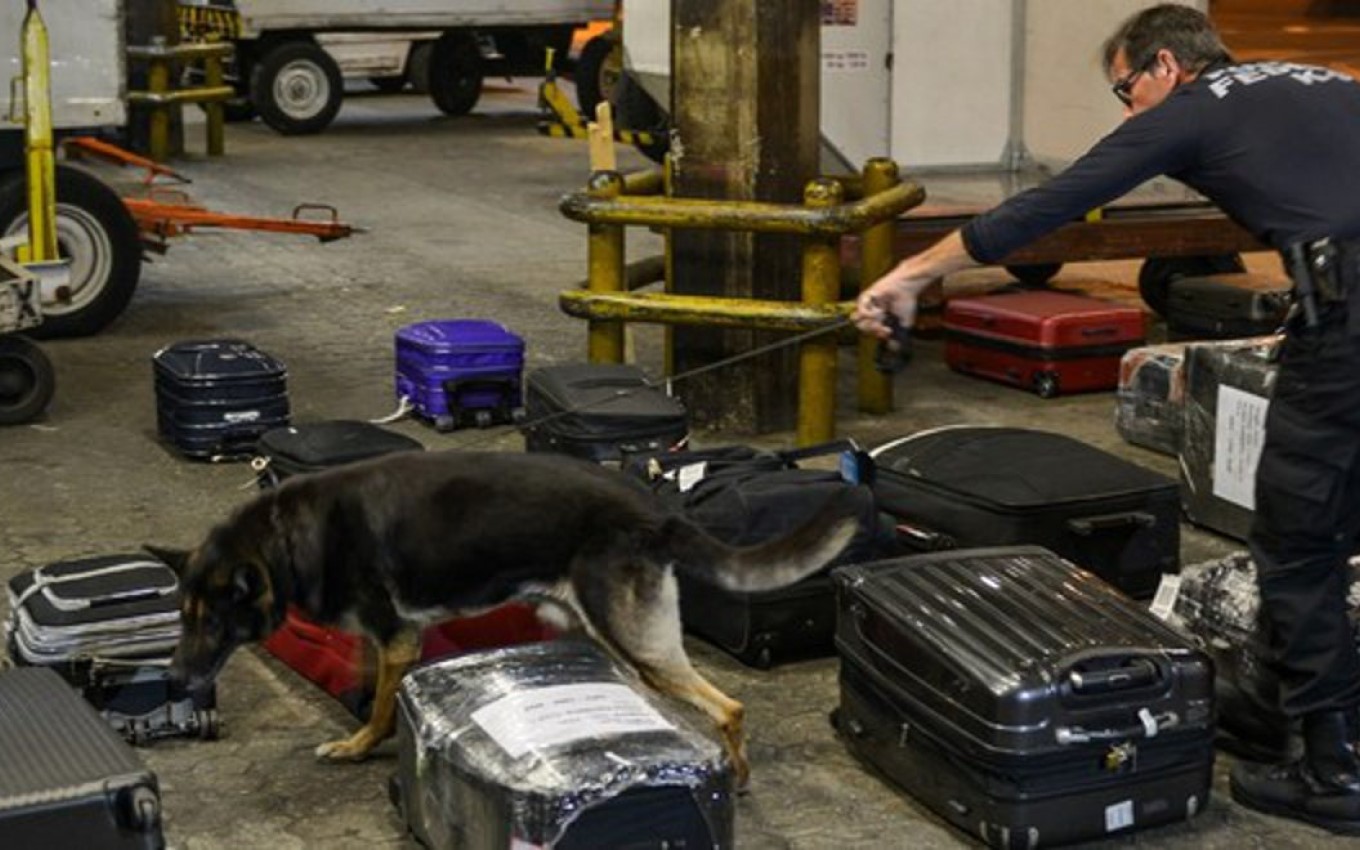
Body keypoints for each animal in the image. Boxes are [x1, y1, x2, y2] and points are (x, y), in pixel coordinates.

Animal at [154, 448, 854, 783]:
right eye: (182, 618)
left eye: (210, 623)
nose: (172, 680)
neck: (282, 538)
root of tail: (656, 512)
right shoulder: (391, 640)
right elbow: (369, 682)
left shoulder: (398, 638)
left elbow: (379, 704)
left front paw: (358, 745)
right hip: (596, 634)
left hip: (635, 642)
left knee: (727, 707)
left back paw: (736, 772)